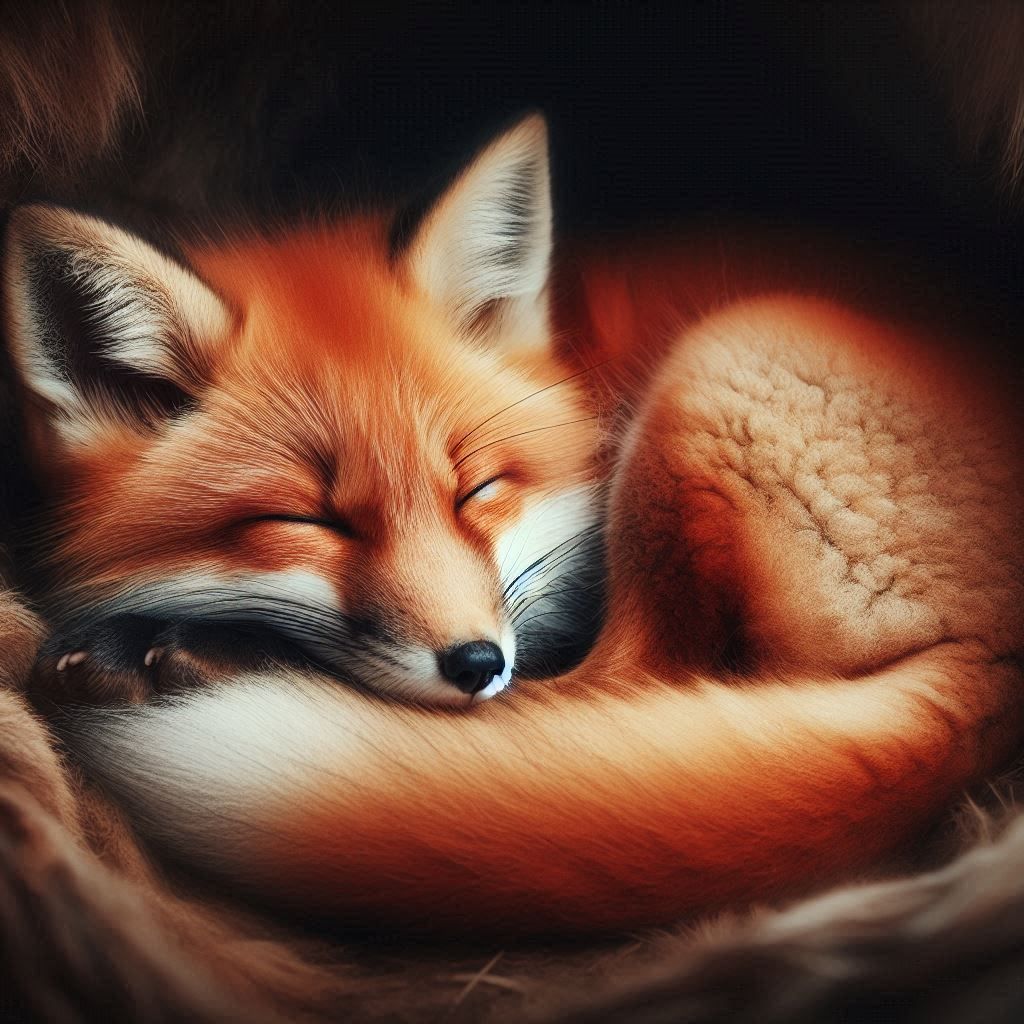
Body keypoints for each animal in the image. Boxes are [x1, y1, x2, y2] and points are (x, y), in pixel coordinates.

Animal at [1, 113, 1021, 949]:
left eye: (477, 490)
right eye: (306, 519)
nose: (474, 663)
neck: (570, 366)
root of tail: (994, 663)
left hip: (719, 363)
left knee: (616, 688)